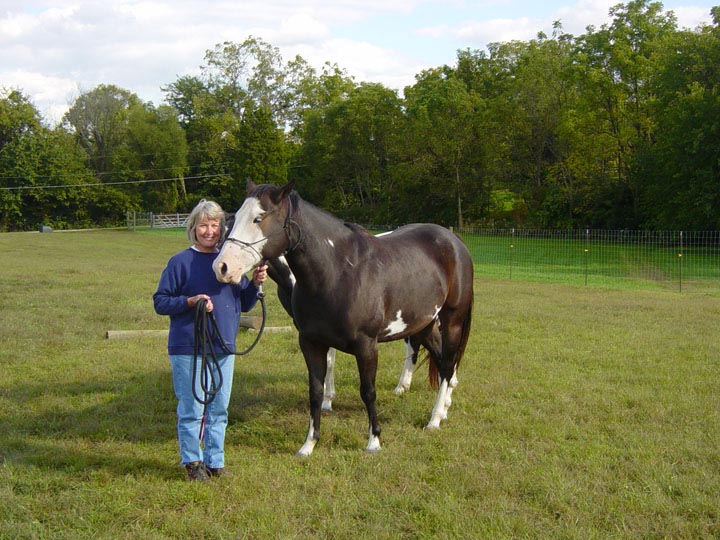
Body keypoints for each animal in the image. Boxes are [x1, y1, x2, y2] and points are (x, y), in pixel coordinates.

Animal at [214, 182, 472, 456]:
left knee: (447, 364)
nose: (222, 267)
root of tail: (454, 241)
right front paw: (309, 443)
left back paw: (434, 418)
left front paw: (374, 441)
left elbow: (368, 391)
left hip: (452, 320)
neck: (339, 271)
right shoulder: (311, 342)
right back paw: (441, 406)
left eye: (259, 218)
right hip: (423, 321)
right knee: (438, 357)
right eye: (235, 219)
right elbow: (315, 390)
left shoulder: (366, 346)